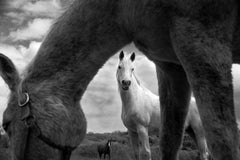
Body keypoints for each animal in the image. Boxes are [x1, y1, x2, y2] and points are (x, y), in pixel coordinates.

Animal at [0, 0, 240, 160]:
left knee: (206, 151)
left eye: (6, 124)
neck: (123, 9)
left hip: (199, 129)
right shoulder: (170, 66)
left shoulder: (203, 41)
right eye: (118, 67)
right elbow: (165, 144)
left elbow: (225, 143)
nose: (126, 83)